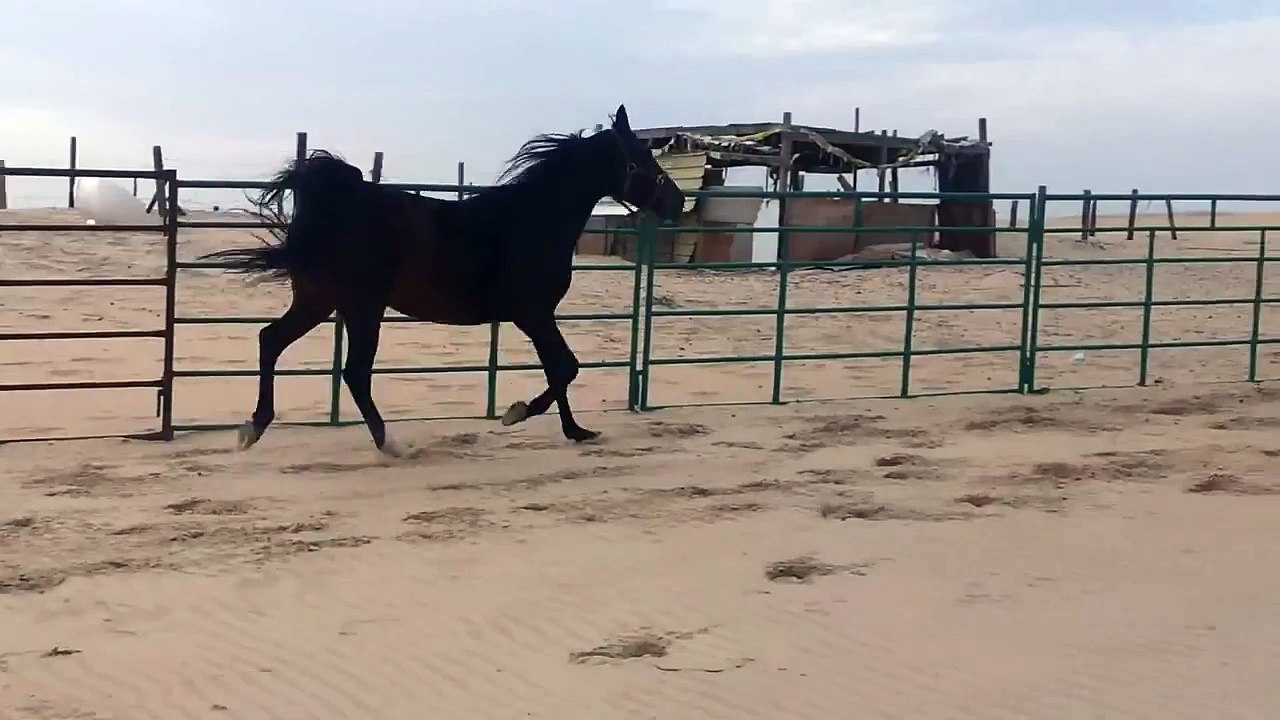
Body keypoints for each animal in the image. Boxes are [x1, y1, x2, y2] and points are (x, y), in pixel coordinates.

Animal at [199, 104, 685, 458]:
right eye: (641, 158)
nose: (678, 202)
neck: (530, 220)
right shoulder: (533, 313)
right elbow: (566, 366)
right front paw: (516, 413)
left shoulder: (537, 316)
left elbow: (559, 368)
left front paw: (576, 431)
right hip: (361, 306)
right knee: (354, 371)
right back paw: (392, 444)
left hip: (319, 301)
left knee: (271, 340)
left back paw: (253, 427)